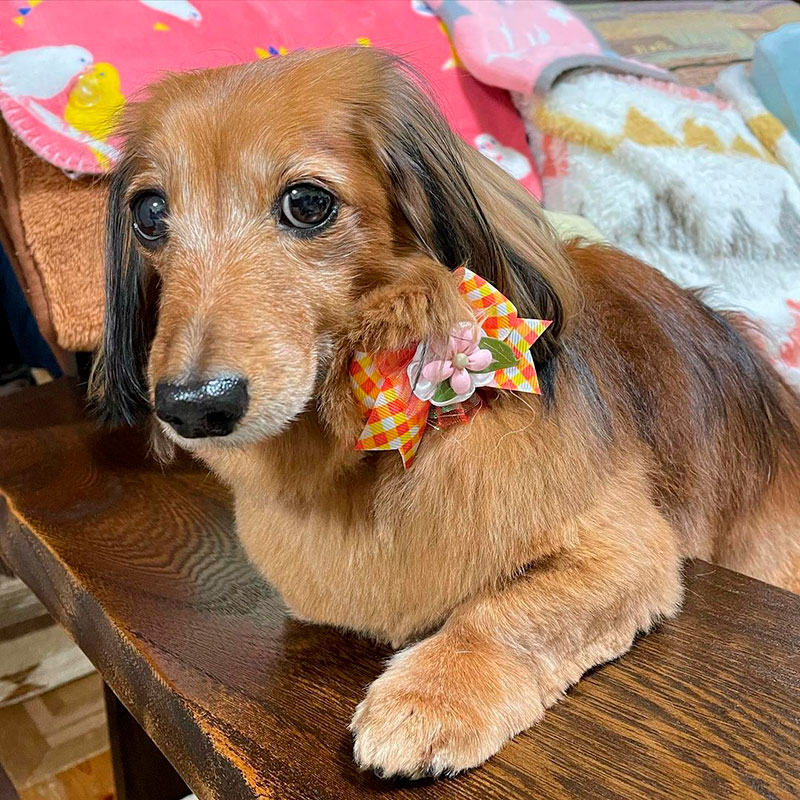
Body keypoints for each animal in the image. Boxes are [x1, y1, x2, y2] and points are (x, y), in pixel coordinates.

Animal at [92, 47, 800, 779]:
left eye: (308, 203)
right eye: (149, 214)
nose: (192, 406)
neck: (371, 448)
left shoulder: (627, 550)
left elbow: (504, 613)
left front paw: (433, 694)